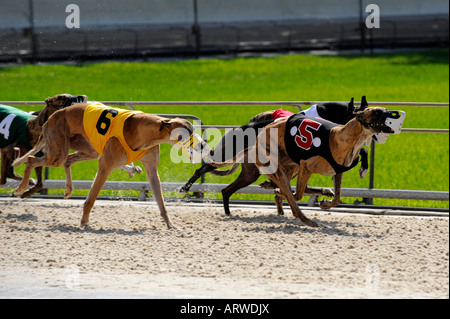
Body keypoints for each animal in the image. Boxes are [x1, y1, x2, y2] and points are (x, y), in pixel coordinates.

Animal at [12, 102, 194, 230]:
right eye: (186, 132)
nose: (199, 145)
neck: (145, 131)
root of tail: (51, 118)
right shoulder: (105, 166)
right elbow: (91, 199)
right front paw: (84, 222)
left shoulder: (152, 171)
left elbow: (161, 202)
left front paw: (170, 225)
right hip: (57, 153)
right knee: (32, 160)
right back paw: (21, 188)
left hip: (87, 149)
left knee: (68, 159)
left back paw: (68, 189)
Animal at [206, 107, 402, 228]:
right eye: (377, 111)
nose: (394, 114)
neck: (341, 136)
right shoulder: (306, 166)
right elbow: (297, 194)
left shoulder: (337, 171)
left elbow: (337, 197)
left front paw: (325, 203)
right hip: (280, 166)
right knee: (291, 198)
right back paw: (305, 218)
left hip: (288, 165)